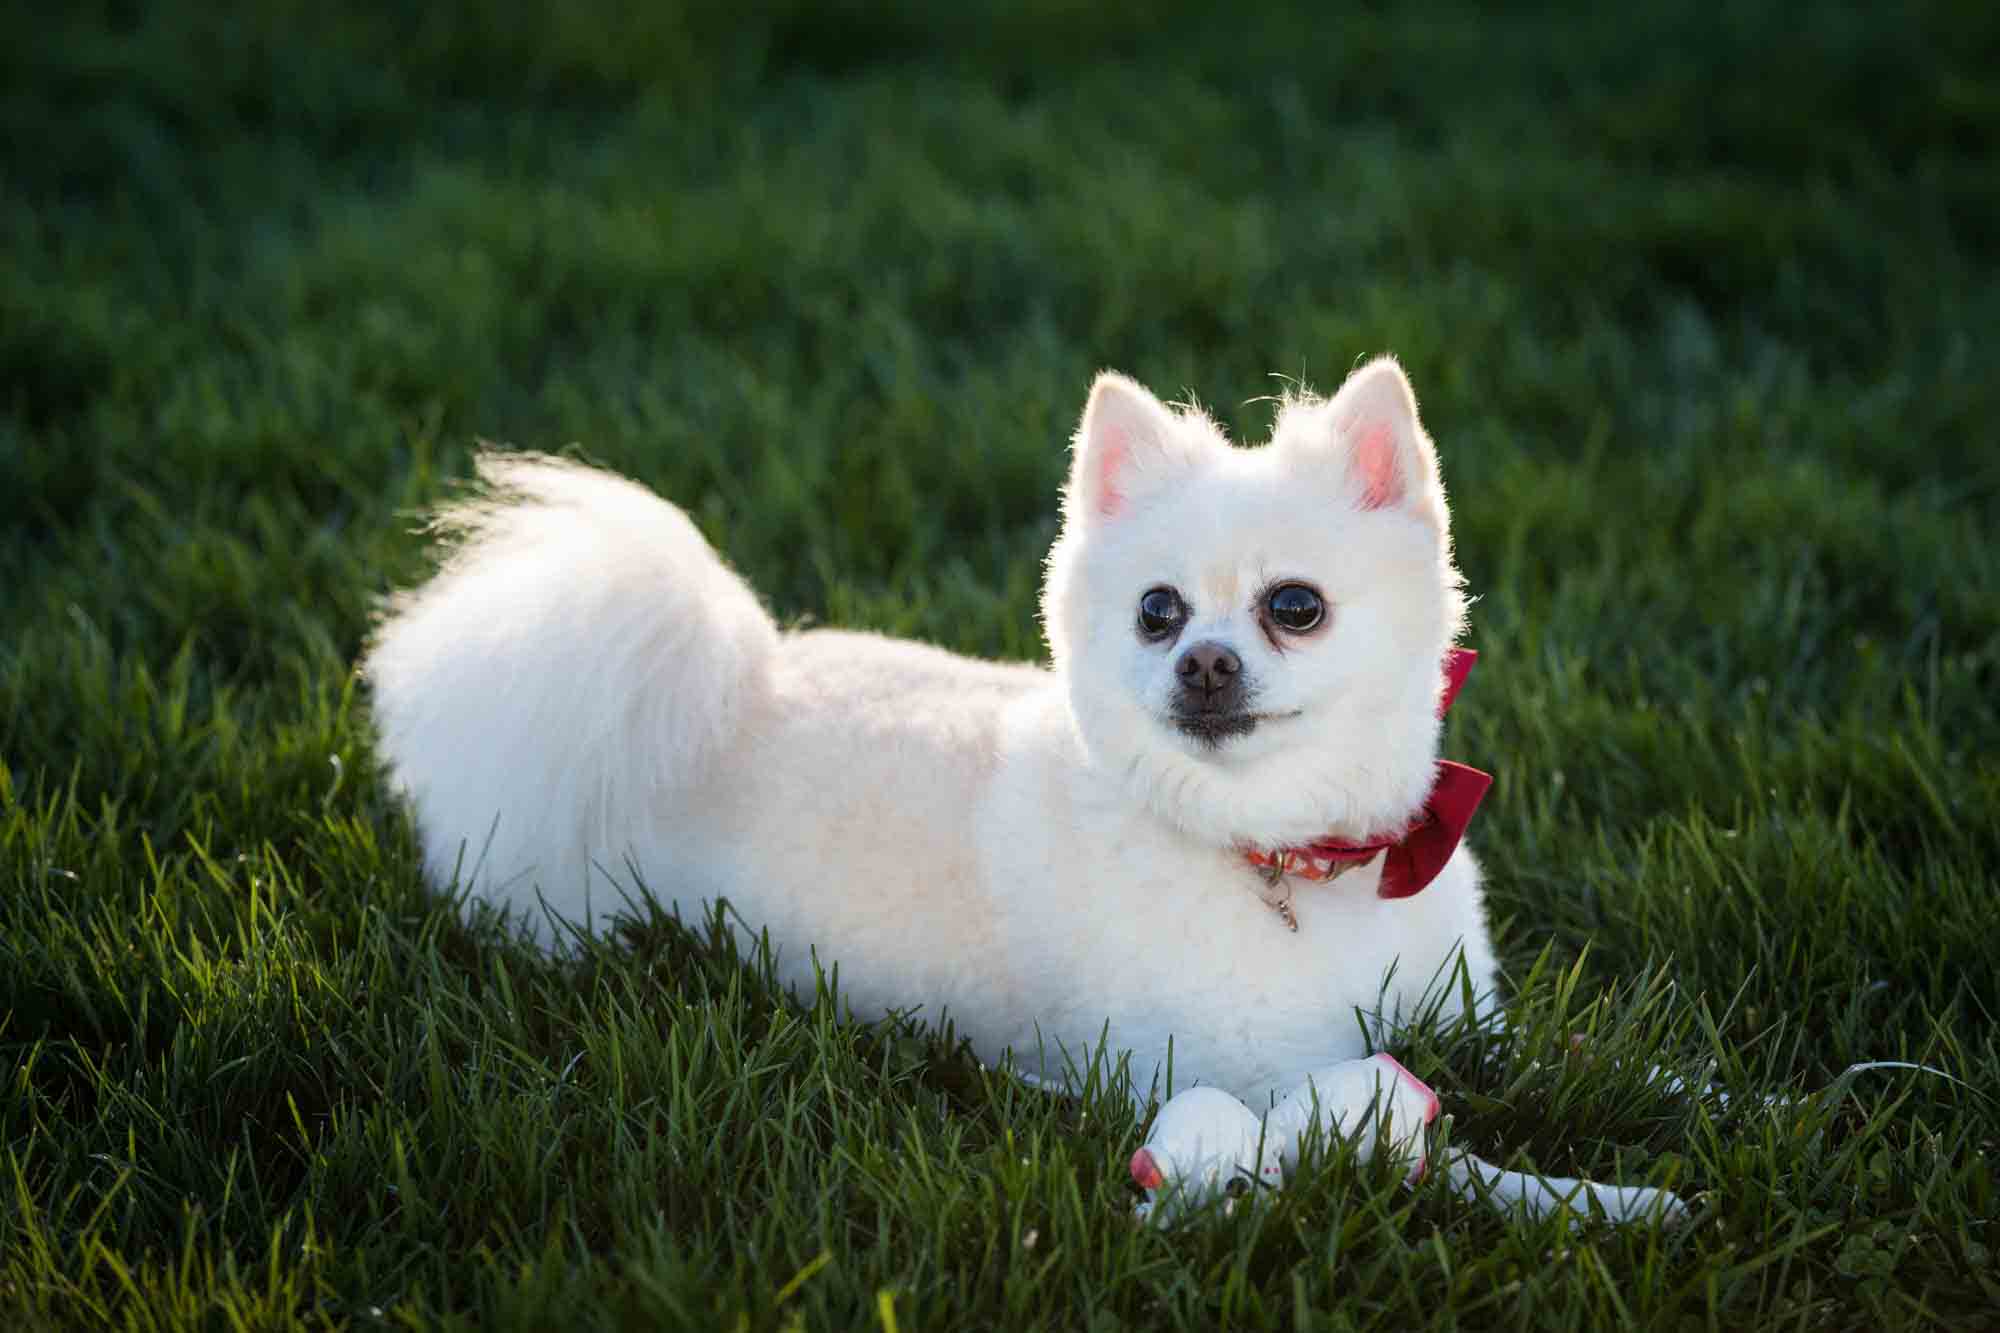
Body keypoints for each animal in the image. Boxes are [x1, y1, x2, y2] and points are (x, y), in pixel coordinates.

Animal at [364, 360, 1688, 1224]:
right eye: (1156, 611)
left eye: (1293, 605)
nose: (1202, 661)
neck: (1287, 860)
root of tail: (734, 680)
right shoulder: (1271, 1090)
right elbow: (1458, 1165)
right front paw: (1609, 1198)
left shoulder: (1472, 1021)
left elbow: (1612, 1056)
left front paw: (1728, 1099)